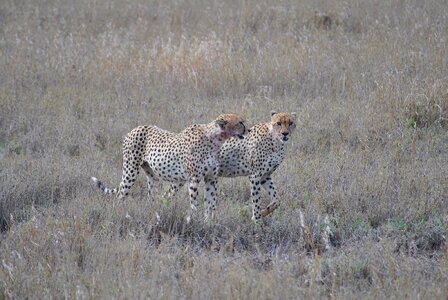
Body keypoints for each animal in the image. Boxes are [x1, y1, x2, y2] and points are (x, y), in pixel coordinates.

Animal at [90, 113, 245, 219]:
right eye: (240, 122)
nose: (247, 130)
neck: (216, 139)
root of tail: (136, 128)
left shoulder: (211, 178)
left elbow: (211, 203)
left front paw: (209, 220)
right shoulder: (194, 179)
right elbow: (195, 203)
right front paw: (196, 218)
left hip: (151, 175)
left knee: (150, 196)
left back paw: (152, 211)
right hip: (130, 170)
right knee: (121, 194)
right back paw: (121, 214)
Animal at [166, 110, 296, 220]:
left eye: (291, 123)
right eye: (278, 123)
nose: (285, 134)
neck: (275, 141)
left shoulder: (265, 176)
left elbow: (277, 200)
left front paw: (264, 212)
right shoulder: (255, 176)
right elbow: (256, 200)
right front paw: (257, 220)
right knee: (168, 194)